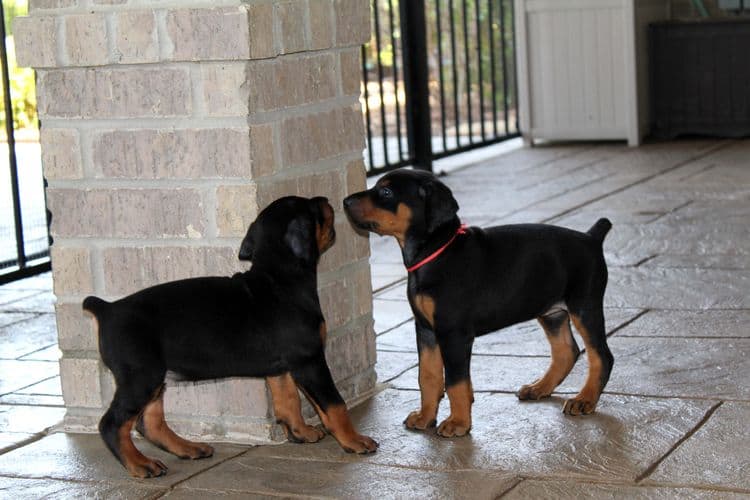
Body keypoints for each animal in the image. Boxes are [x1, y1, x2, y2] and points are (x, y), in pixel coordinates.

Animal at [83, 195, 378, 476]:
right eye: (312, 209)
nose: (326, 200)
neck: (279, 278)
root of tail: (107, 308)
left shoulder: (281, 368)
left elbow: (288, 399)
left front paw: (300, 432)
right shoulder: (310, 360)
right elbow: (334, 404)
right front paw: (354, 440)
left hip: (154, 378)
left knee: (149, 422)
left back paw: (187, 449)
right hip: (141, 376)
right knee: (112, 424)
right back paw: (140, 465)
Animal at [346, 169, 616, 438]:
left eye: (386, 192)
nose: (345, 202)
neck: (436, 252)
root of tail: (591, 238)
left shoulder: (453, 333)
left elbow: (455, 382)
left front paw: (458, 423)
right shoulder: (426, 330)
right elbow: (428, 376)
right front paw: (425, 417)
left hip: (584, 306)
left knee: (602, 356)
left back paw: (585, 399)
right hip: (552, 311)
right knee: (566, 351)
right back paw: (540, 388)